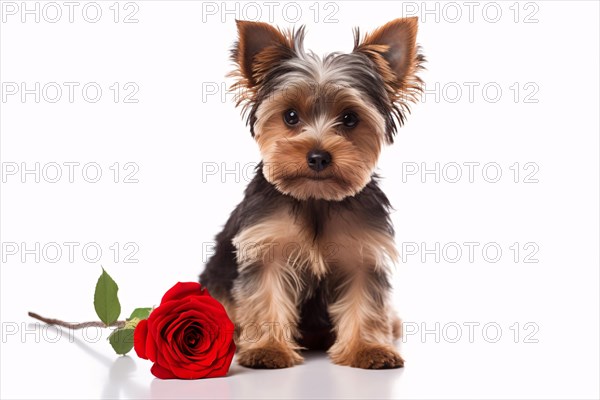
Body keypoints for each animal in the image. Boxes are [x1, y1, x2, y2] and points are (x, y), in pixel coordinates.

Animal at [199, 18, 424, 368]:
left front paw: (368, 349)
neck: (316, 198)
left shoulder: (363, 251)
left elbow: (365, 302)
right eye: (290, 116)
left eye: (350, 118)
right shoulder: (266, 247)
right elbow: (266, 296)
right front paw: (268, 350)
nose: (318, 156)